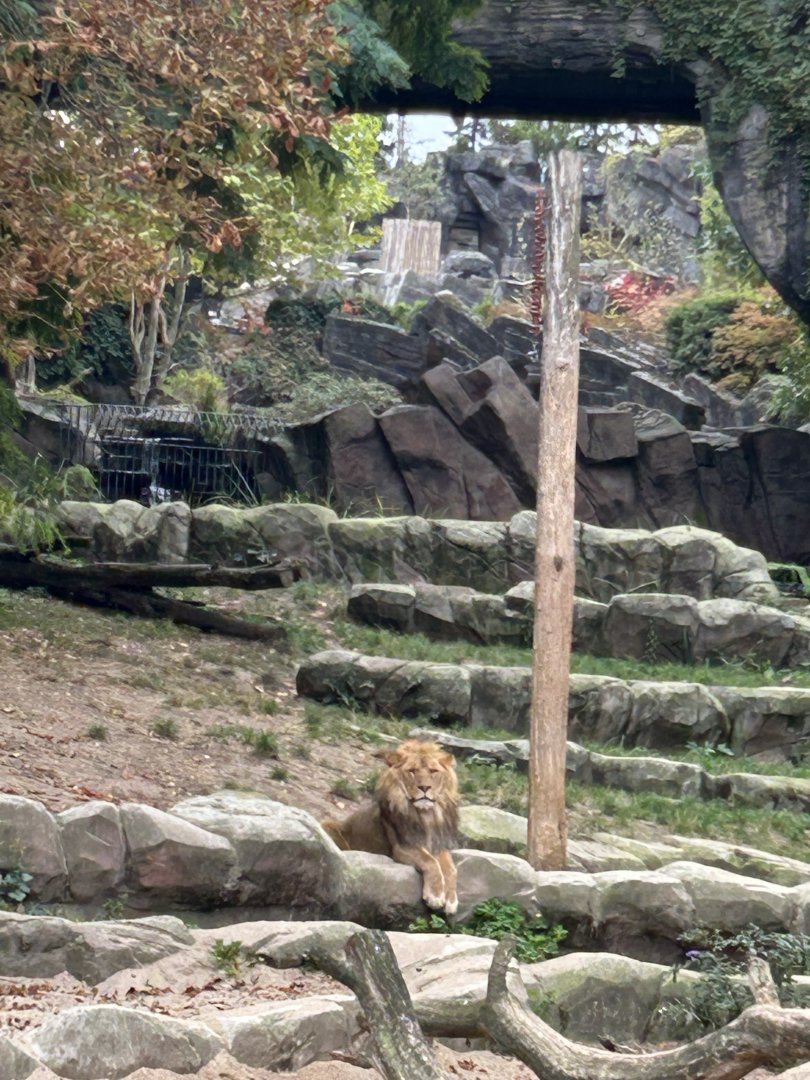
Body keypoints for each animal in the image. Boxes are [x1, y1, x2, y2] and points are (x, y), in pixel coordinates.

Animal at [322, 739, 459, 914]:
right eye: (412, 771)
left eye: (433, 771)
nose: (424, 788)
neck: (426, 815)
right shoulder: (402, 847)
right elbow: (430, 860)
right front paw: (435, 896)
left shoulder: (438, 844)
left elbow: (450, 868)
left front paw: (451, 900)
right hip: (328, 825)